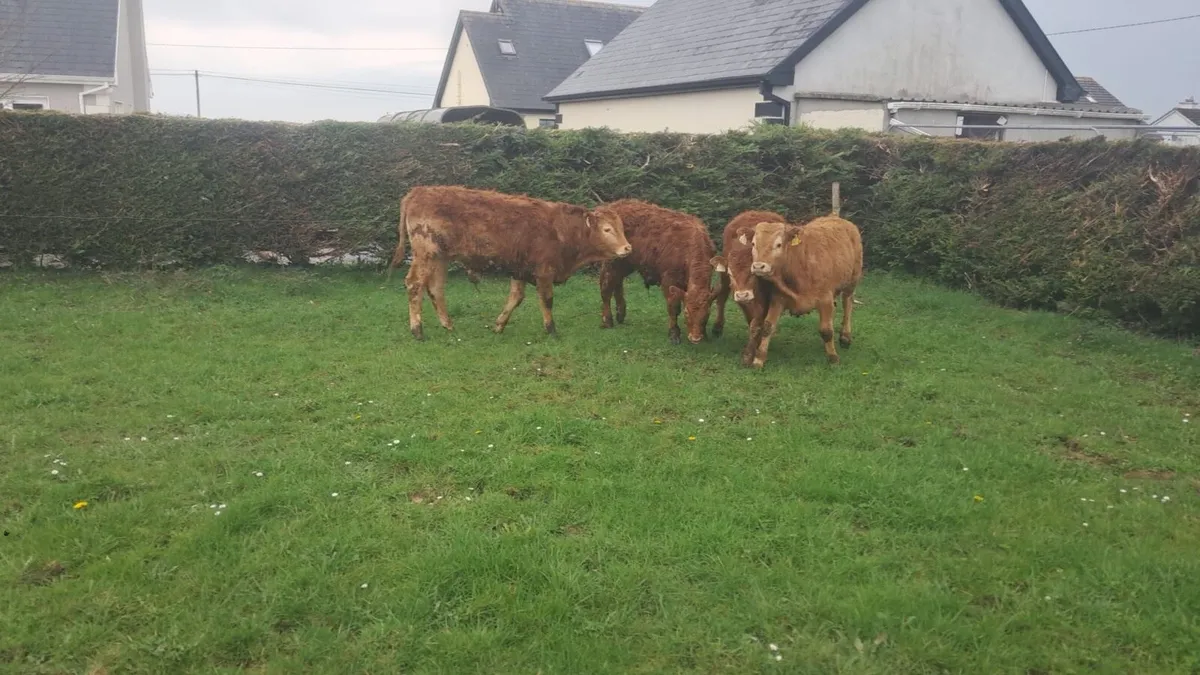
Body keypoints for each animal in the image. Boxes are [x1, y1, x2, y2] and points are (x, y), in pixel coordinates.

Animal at [387, 186, 632, 340]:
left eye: (621, 228)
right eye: (607, 229)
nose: (628, 248)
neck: (560, 229)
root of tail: (418, 191)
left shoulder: (519, 270)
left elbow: (516, 297)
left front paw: (499, 325)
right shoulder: (544, 272)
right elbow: (547, 300)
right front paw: (551, 330)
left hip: (439, 257)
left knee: (436, 288)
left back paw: (448, 325)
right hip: (426, 254)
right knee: (415, 284)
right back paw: (417, 330)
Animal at [597, 200, 720, 344]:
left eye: (707, 314)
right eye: (686, 312)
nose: (695, 338)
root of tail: (613, 206)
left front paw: (704, 335)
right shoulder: (669, 280)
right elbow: (673, 307)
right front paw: (674, 334)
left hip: (624, 264)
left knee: (617, 283)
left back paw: (620, 314)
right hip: (612, 262)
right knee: (606, 287)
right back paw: (608, 320)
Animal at [709, 210, 788, 365]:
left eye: (752, 273)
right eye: (730, 273)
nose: (742, 295)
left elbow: (758, 323)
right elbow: (751, 322)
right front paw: (750, 351)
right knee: (721, 298)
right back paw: (717, 327)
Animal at [748, 213, 863, 368]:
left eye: (778, 244)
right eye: (753, 244)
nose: (758, 266)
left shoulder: (825, 299)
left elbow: (826, 331)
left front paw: (833, 357)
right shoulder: (778, 299)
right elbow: (767, 327)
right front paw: (759, 359)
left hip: (852, 281)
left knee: (847, 303)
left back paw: (845, 336)